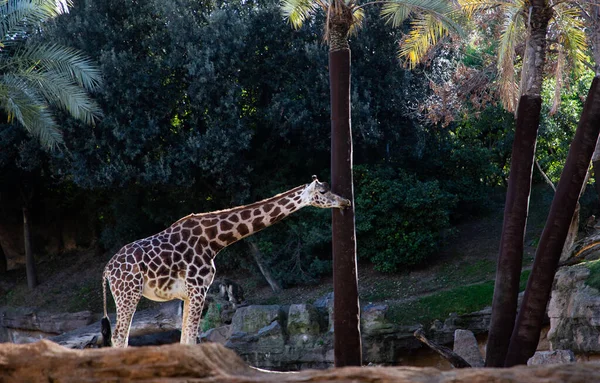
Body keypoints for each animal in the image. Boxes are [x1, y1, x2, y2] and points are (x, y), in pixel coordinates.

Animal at [101, 177, 350, 348]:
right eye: (323, 191)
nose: (345, 201)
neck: (214, 240)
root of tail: (107, 271)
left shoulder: (189, 294)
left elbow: (185, 339)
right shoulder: (198, 288)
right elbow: (191, 339)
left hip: (125, 294)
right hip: (128, 293)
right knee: (119, 335)